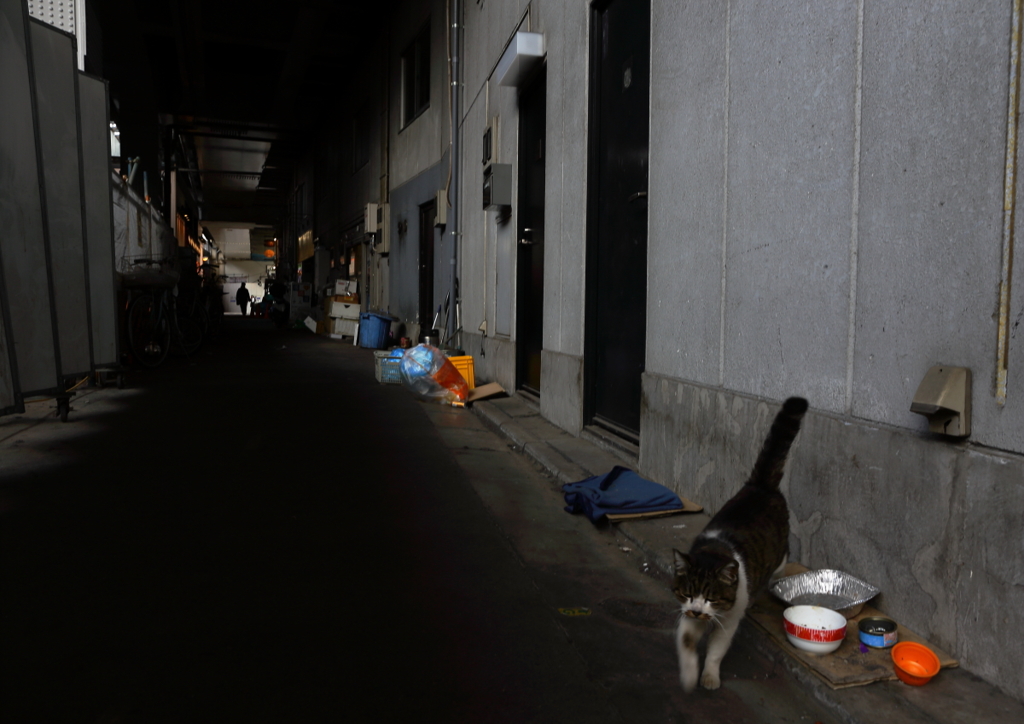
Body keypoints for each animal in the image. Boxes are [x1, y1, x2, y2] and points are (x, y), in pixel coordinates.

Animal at [671, 397, 806, 692]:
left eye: (711, 598)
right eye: (687, 594)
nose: (698, 611)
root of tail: (760, 485)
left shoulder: (729, 620)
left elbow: (716, 650)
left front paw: (709, 676)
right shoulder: (688, 614)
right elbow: (686, 641)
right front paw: (689, 675)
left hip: (779, 557)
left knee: (778, 565)